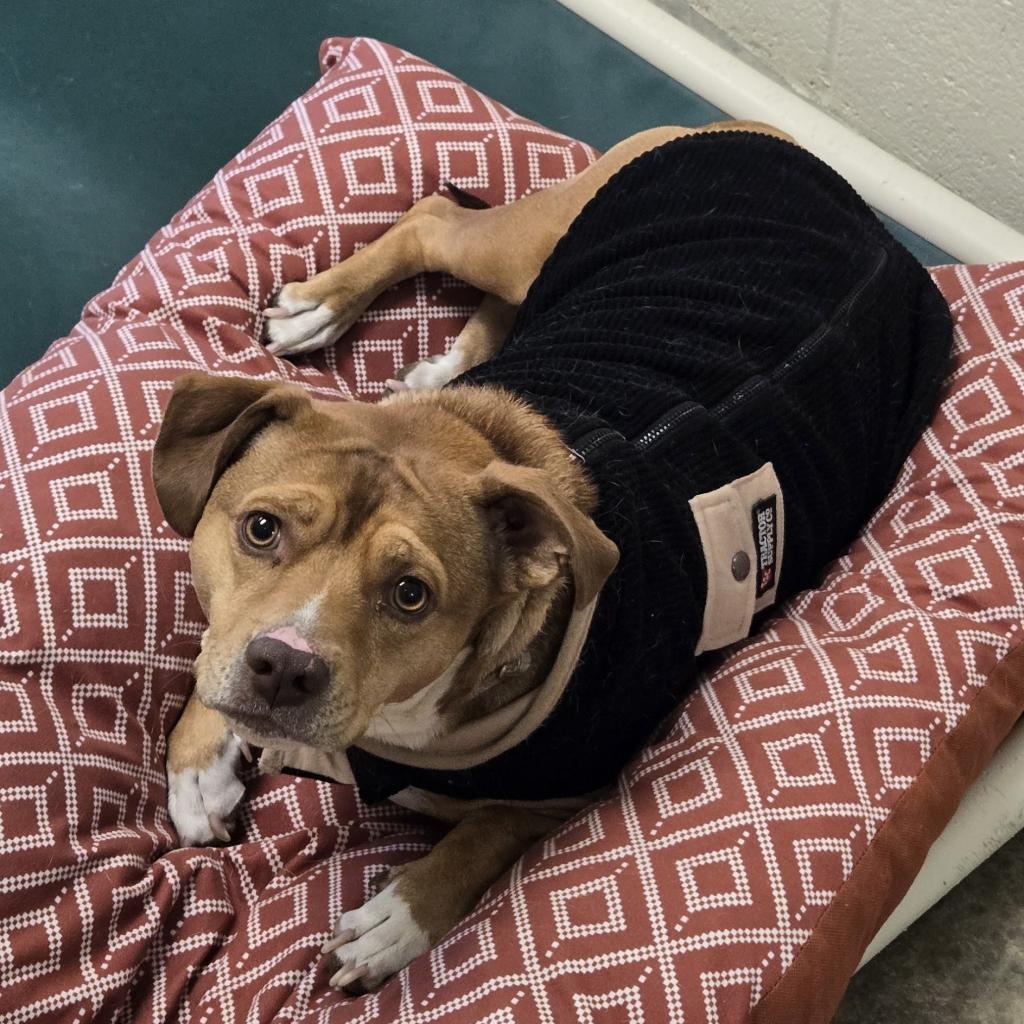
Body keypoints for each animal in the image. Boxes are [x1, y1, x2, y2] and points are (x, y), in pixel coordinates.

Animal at [153, 121, 790, 991]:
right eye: (260, 529)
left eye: (410, 594)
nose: (284, 666)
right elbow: (212, 653)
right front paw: (199, 761)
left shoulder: (568, 792)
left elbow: (482, 836)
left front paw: (398, 918)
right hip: (529, 241)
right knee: (432, 220)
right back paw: (327, 310)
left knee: (448, 238)